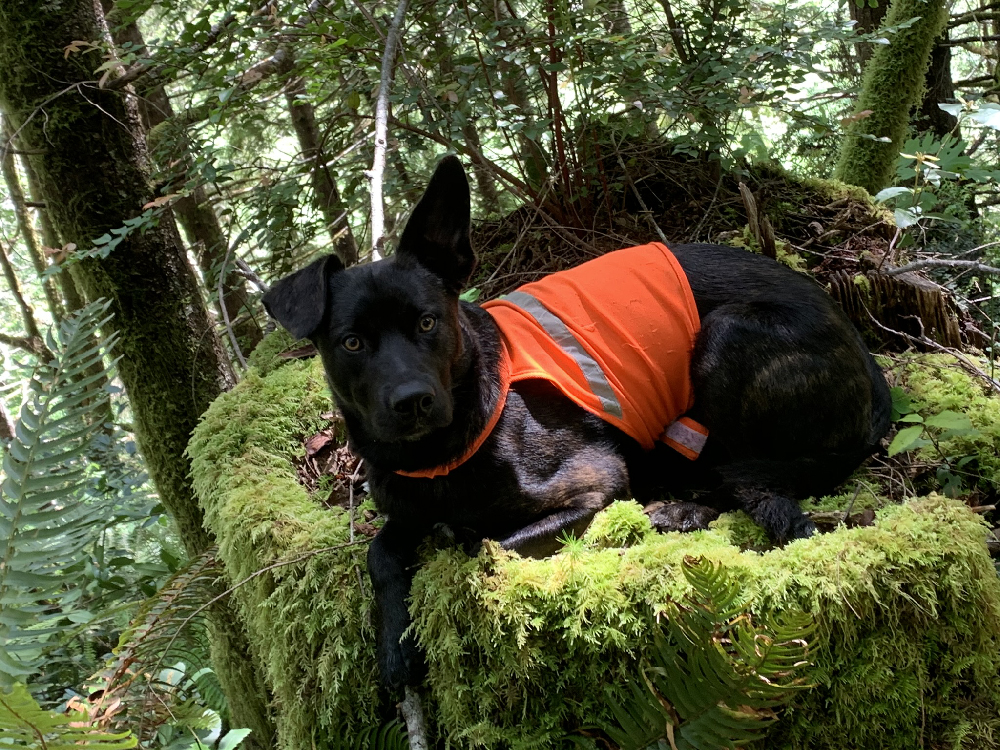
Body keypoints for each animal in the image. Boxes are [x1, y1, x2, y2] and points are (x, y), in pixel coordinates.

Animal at [264, 156, 892, 692]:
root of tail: (866, 358)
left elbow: (490, 548)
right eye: (351, 342)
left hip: (726, 336)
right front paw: (395, 645)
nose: (413, 401)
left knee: (739, 474)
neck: (439, 458)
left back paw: (677, 510)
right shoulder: (406, 510)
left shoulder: (593, 482)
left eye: (426, 322)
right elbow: (380, 554)